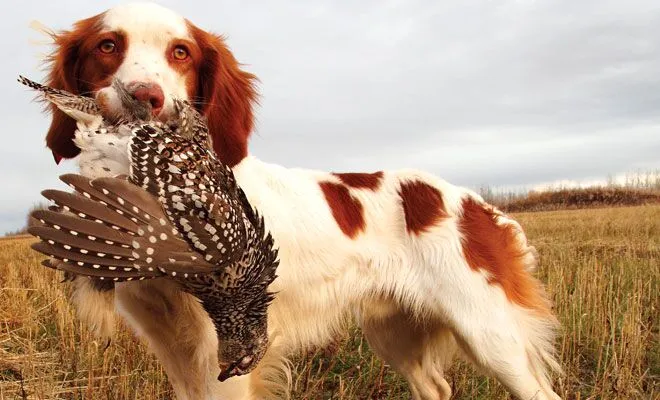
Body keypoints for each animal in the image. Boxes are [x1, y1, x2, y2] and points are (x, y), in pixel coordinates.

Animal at [34, 1, 564, 398]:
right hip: (395, 330)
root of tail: (480, 206)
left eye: (181, 52)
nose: (144, 97)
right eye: (107, 45)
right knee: (436, 387)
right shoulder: (173, 347)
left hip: (491, 335)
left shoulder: (223, 350)